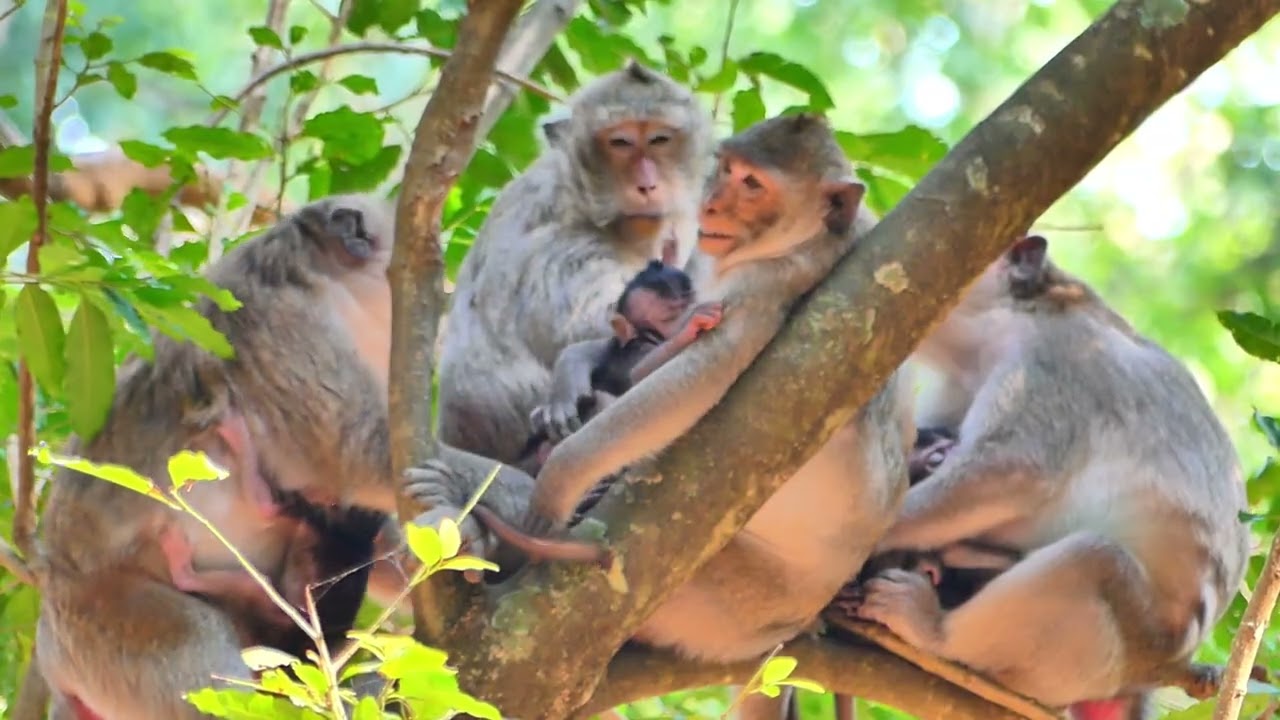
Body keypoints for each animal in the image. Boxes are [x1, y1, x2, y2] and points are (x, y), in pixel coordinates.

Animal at [408, 113, 916, 666]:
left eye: (753, 184)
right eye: (728, 168)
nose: (709, 206)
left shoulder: (770, 284)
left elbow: (693, 381)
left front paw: (555, 485)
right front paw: (571, 376)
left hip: (720, 595)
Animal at [841, 234, 1251, 718]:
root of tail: (1156, 671)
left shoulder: (1049, 360)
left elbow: (1013, 469)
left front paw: (866, 535)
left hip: (1120, 646)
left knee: (1090, 559)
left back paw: (932, 628)